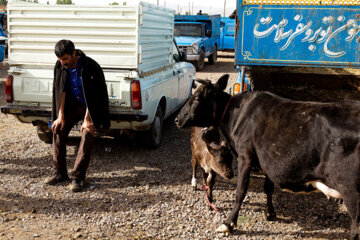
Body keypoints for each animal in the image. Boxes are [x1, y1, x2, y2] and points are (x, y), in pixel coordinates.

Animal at [175, 74, 360, 239]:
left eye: (197, 98)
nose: (177, 119)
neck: (236, 116)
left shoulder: (245, 156)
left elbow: (240, 191)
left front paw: (228, 224)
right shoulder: (267, 160)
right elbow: (268, 188)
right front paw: (270, 213)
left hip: (351, 192)